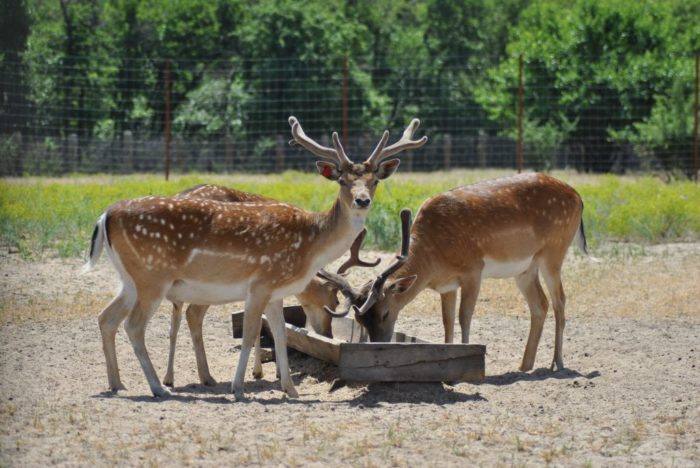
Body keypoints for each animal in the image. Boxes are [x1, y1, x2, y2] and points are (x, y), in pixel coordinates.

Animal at [161, 183, 380, 388]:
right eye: (335, 302)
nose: (328, 334)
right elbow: (263, 325)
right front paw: (264, 372)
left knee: (176, 318)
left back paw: (170, 378)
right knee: (192, 314)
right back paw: (205, 377)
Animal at [326, 173, 588, 372]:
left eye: (386, 312)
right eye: (361, 319)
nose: (378, 346)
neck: (434, 258)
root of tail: (579, 197)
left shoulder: (473, 270)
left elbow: (464, 316)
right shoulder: (447, 285)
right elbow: (447, 321)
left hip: (554, 252)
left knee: (560, 300)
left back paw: (557, 363)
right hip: (525, 269)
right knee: (540, 304)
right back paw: (525, 366)